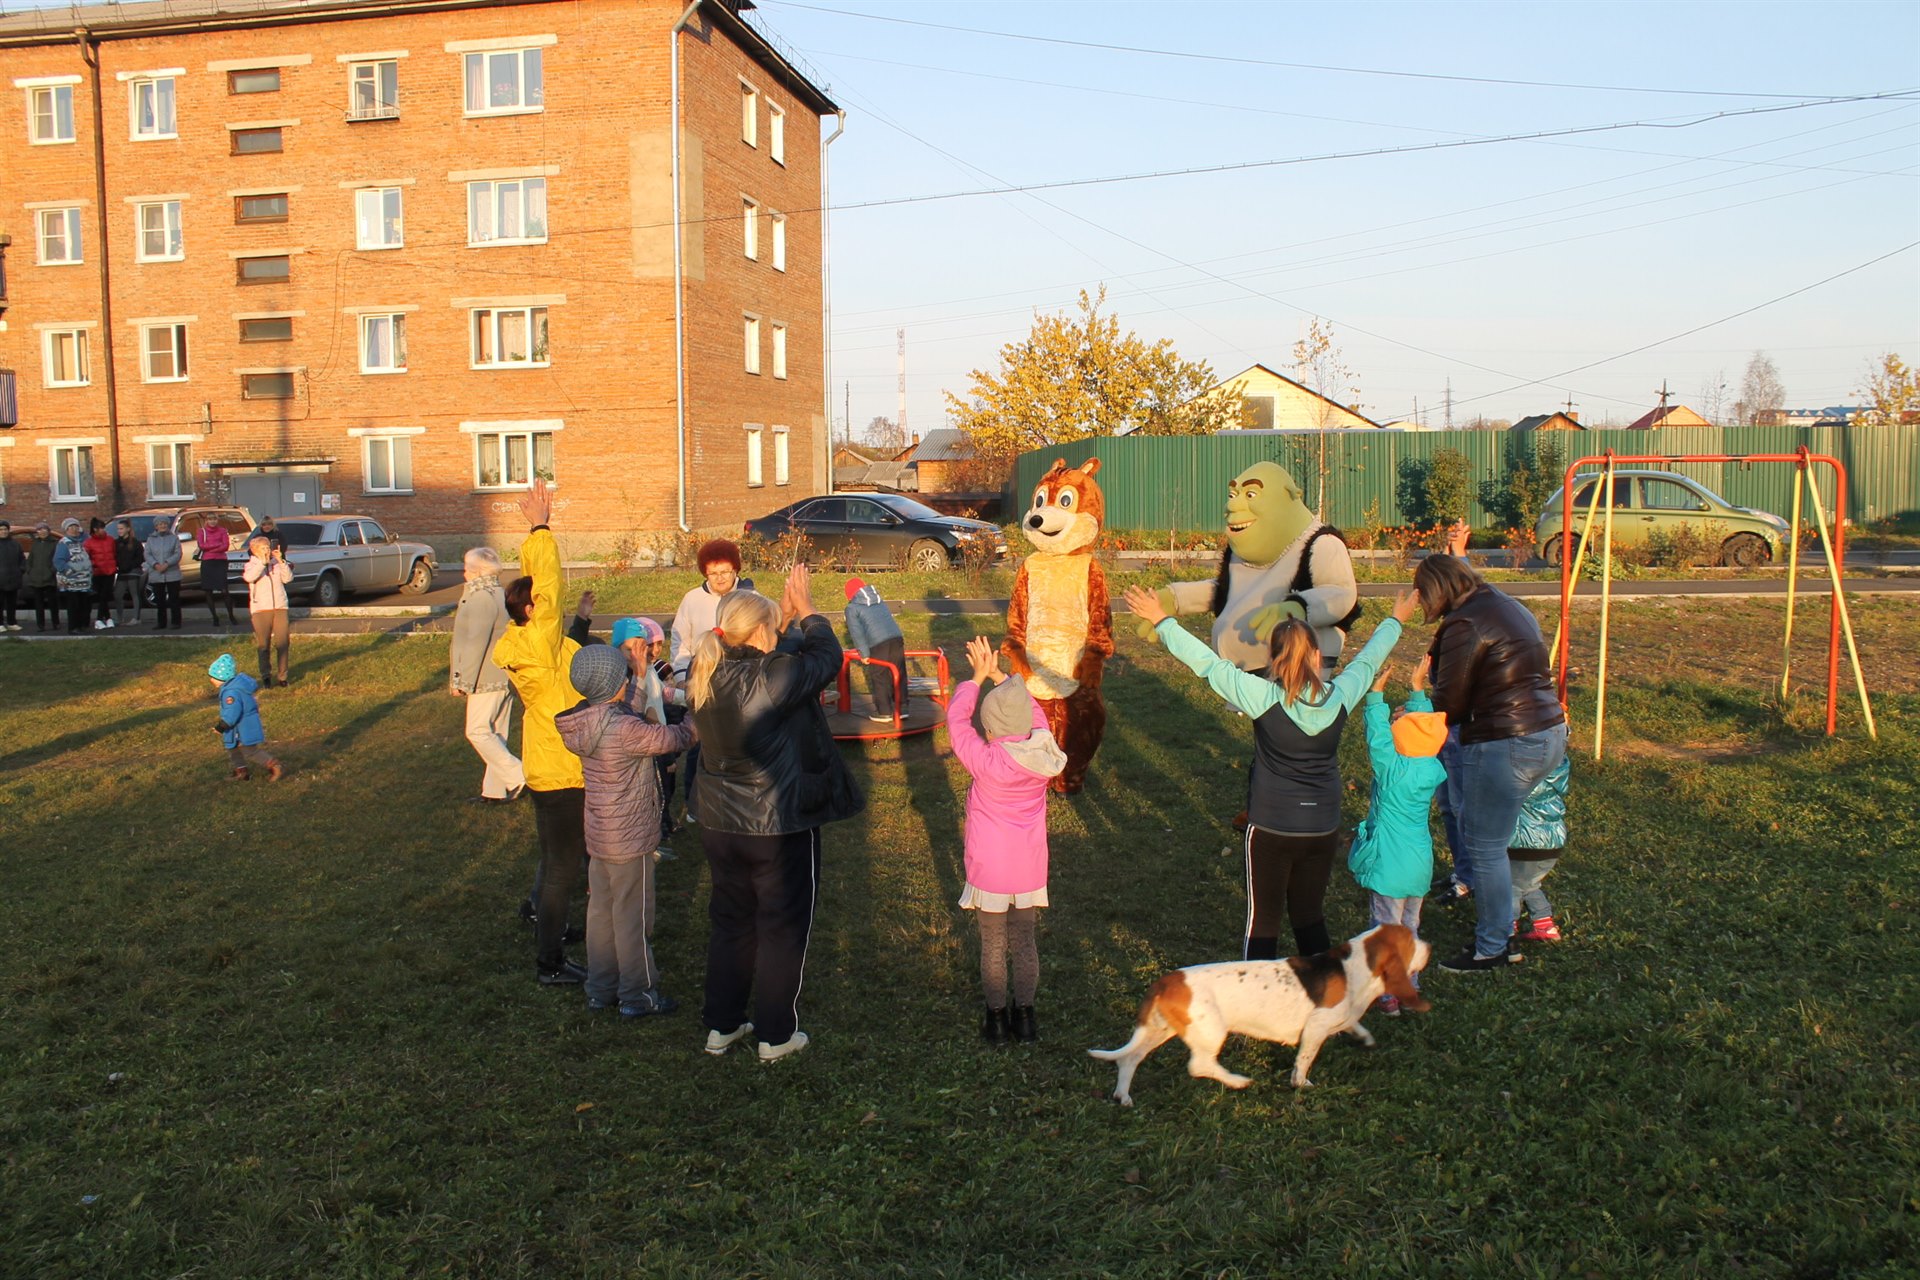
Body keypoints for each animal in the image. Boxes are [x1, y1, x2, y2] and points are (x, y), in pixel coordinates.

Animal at [1087, 925, 1429, 1106]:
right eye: (1412, 941)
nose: (1429, 945)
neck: (1353, 965)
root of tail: (1166, 980)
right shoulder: (1315, 1028)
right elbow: (1304, 1060)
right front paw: (1301, 1084)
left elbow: (1355, 1025)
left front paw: (1364, 1038)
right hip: (1211, 1032)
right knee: (1199, 1066)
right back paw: (1237, 1081)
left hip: (1160, 1029)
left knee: (1130, 1059)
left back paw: (1123, 1095)